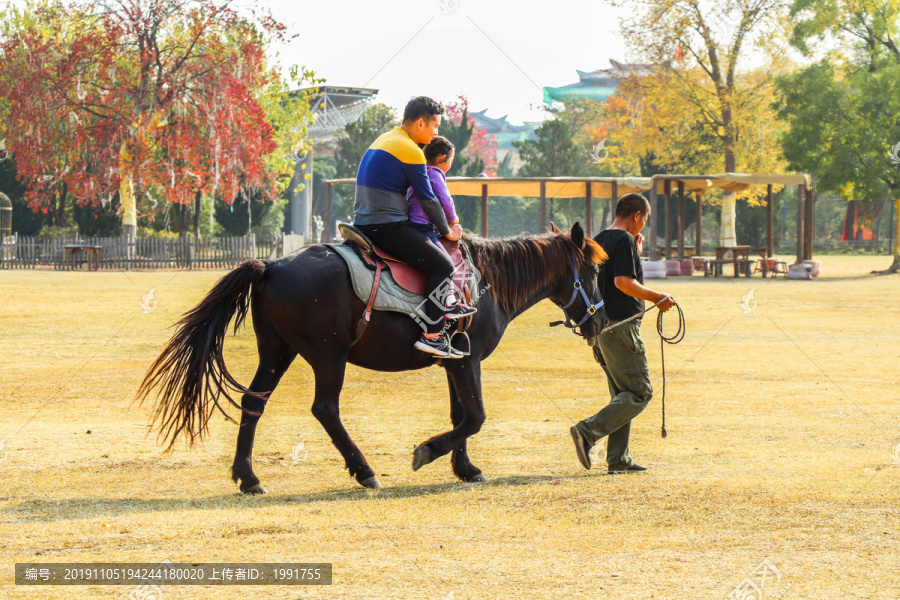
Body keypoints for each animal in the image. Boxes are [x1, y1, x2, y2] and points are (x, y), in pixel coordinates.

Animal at [135, 223, 612, 490]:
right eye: (591, 271)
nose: (601, 322)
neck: (488, 281)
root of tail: (271, 265)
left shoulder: (454, 360)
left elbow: (461, 414)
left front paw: (464, 467)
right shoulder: (467, 360)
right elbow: (474, 417)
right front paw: (428, 452)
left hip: (276, 352)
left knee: (254, 402)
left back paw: (249, 477)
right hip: (328, 356)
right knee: (325, 408)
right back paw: (363, 470)